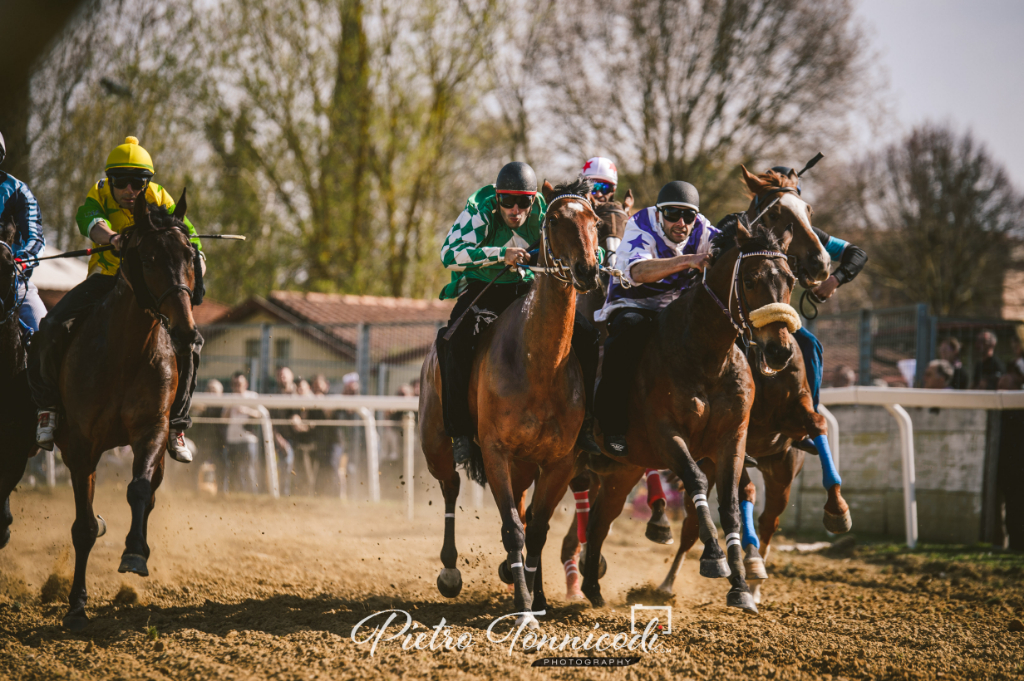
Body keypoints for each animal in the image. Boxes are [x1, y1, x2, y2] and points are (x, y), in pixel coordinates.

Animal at [53, 191, 201, 626]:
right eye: (148, 258)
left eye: (189, 255)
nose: (186, 331)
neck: (124, 353)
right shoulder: (80, 446)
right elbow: (84, 527)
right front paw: (76, 604)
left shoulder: (151, 429)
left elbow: (138, 489)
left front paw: (135, 551)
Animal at [581, 220, 794, 614]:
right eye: (751, 279)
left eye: (789, 278)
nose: (780, 350)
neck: (706, 356)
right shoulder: (668, 434)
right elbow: (694, 481)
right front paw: (713, 557)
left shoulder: (732, 438)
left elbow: (729, 503)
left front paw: (741, 587)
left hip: (623, 470)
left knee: (600, 520)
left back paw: (590, 585)